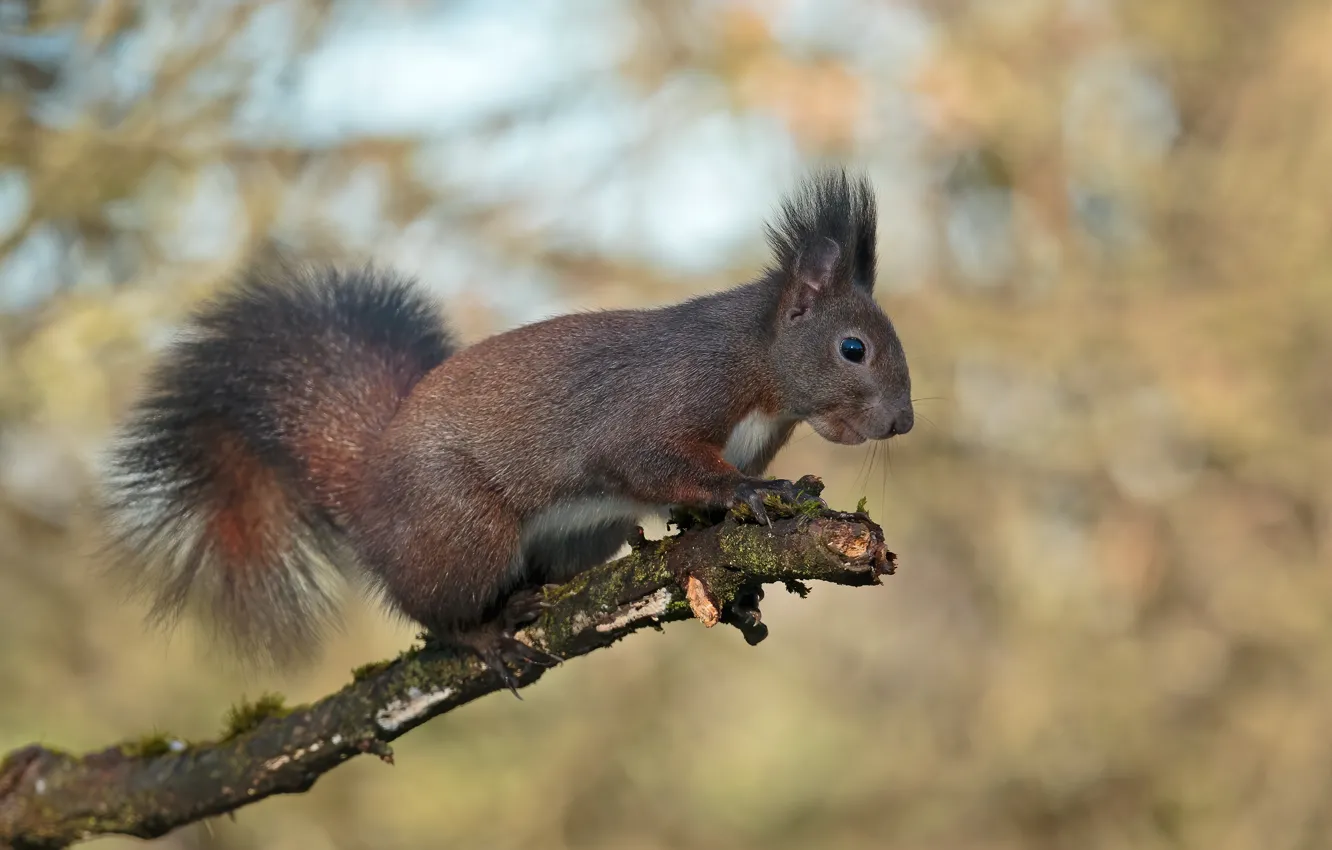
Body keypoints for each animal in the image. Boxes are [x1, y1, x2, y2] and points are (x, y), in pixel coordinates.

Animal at [99, 169, 913, 689]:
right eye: (853, 348)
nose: (903, 421)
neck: (762, 370)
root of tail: (364, 490)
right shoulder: (664, 401)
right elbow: (653, 461)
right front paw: (753, 494)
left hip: (578, 535)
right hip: (464, 530)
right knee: (428, 613)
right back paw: (483, 632)